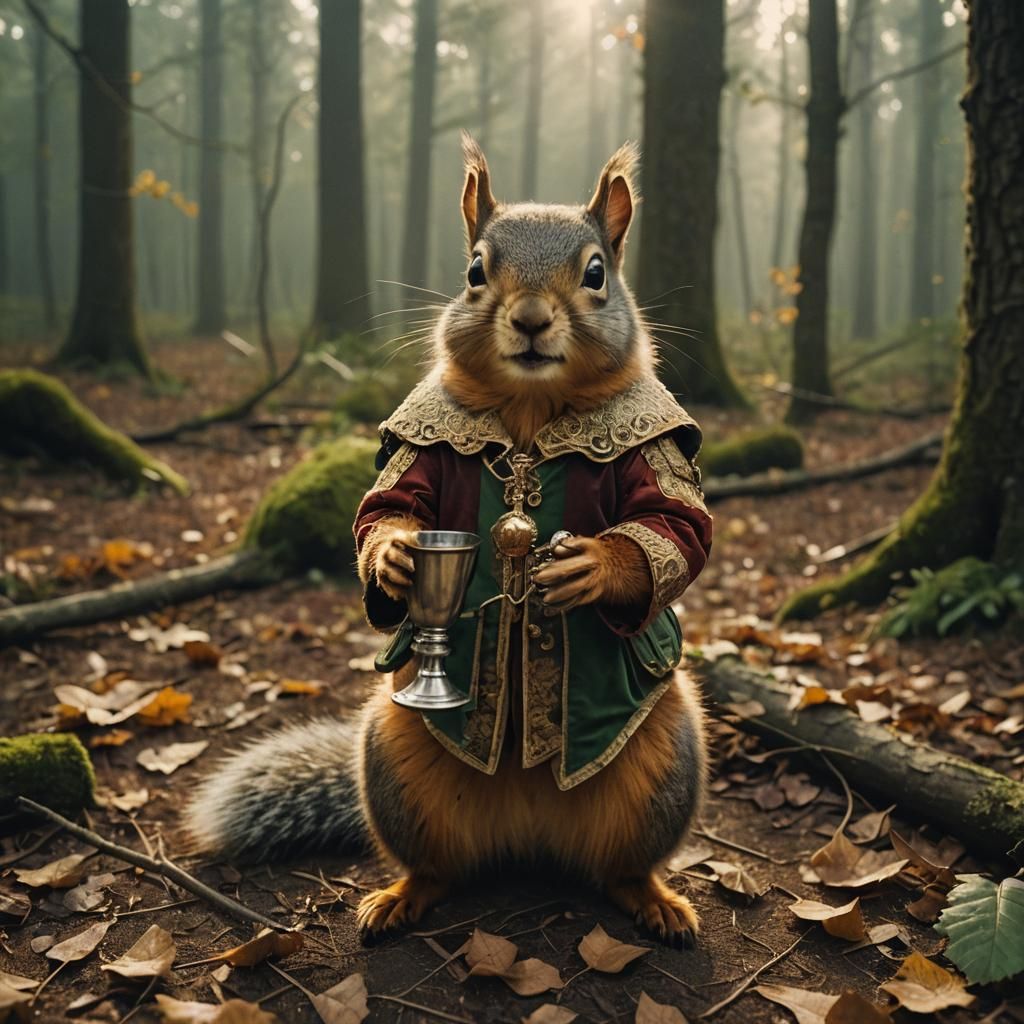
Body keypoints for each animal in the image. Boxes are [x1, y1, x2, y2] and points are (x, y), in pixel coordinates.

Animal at [186, 135, 713, 948]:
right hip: (394, 763)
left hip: (665, 769)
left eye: (597, 273)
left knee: (624, 865)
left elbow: (677, 529)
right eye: (474, 271)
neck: (529, 409)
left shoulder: (654, 452)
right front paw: (395, 556)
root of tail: (531, 832)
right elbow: (385, 504)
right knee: (437, 864)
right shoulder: (418, 450)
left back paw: (653, 900)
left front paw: (594, 567)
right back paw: (401, 897)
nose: (530, 320)